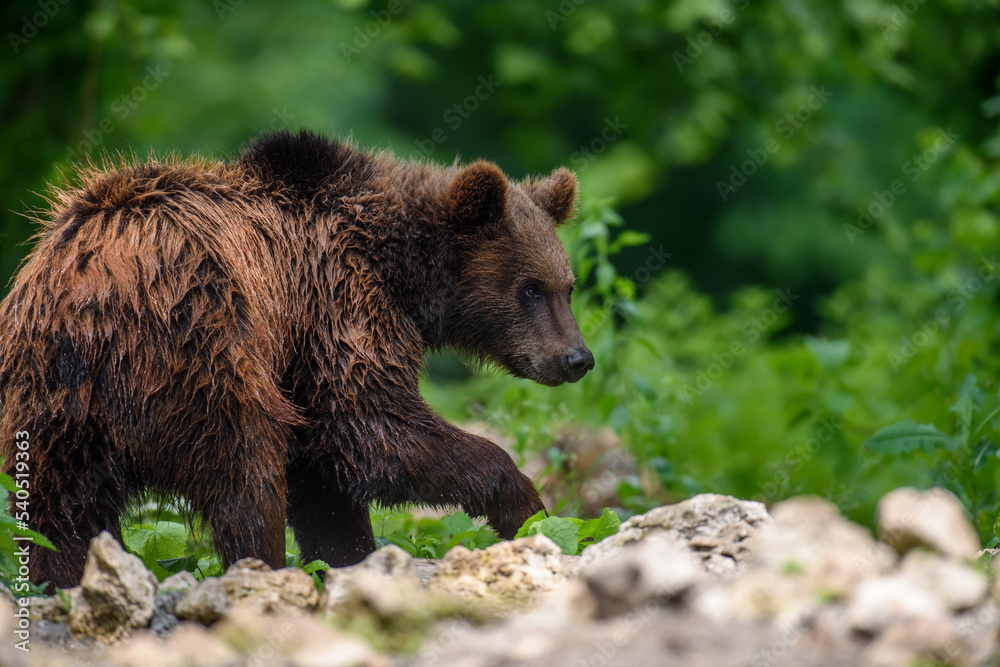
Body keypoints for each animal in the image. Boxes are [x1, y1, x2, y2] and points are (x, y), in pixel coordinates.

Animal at [0, 130, 592, 588]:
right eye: (531, 288)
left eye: (568, 286)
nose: (576, 358)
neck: (402, 269)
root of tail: (87, 291)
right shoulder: (337, 299)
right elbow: (372, 426)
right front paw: (527, 506)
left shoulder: (303, 355)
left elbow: (326, 474)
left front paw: (348, 557)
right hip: (199, 347)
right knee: (246, 469)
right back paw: (261, 567)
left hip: (51, 400)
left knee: (59, 511)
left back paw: (63, 580)